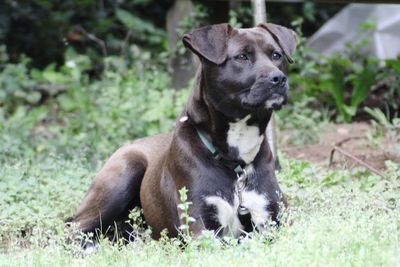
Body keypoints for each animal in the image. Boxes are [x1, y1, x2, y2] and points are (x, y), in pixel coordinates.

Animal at [69, 23, 296, 241]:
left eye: (276, 55)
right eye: (242, 56)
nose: (279, 78)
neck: (236, 159)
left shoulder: (273, 217)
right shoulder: (199, 224)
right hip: (124, 172)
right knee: (75, 229)